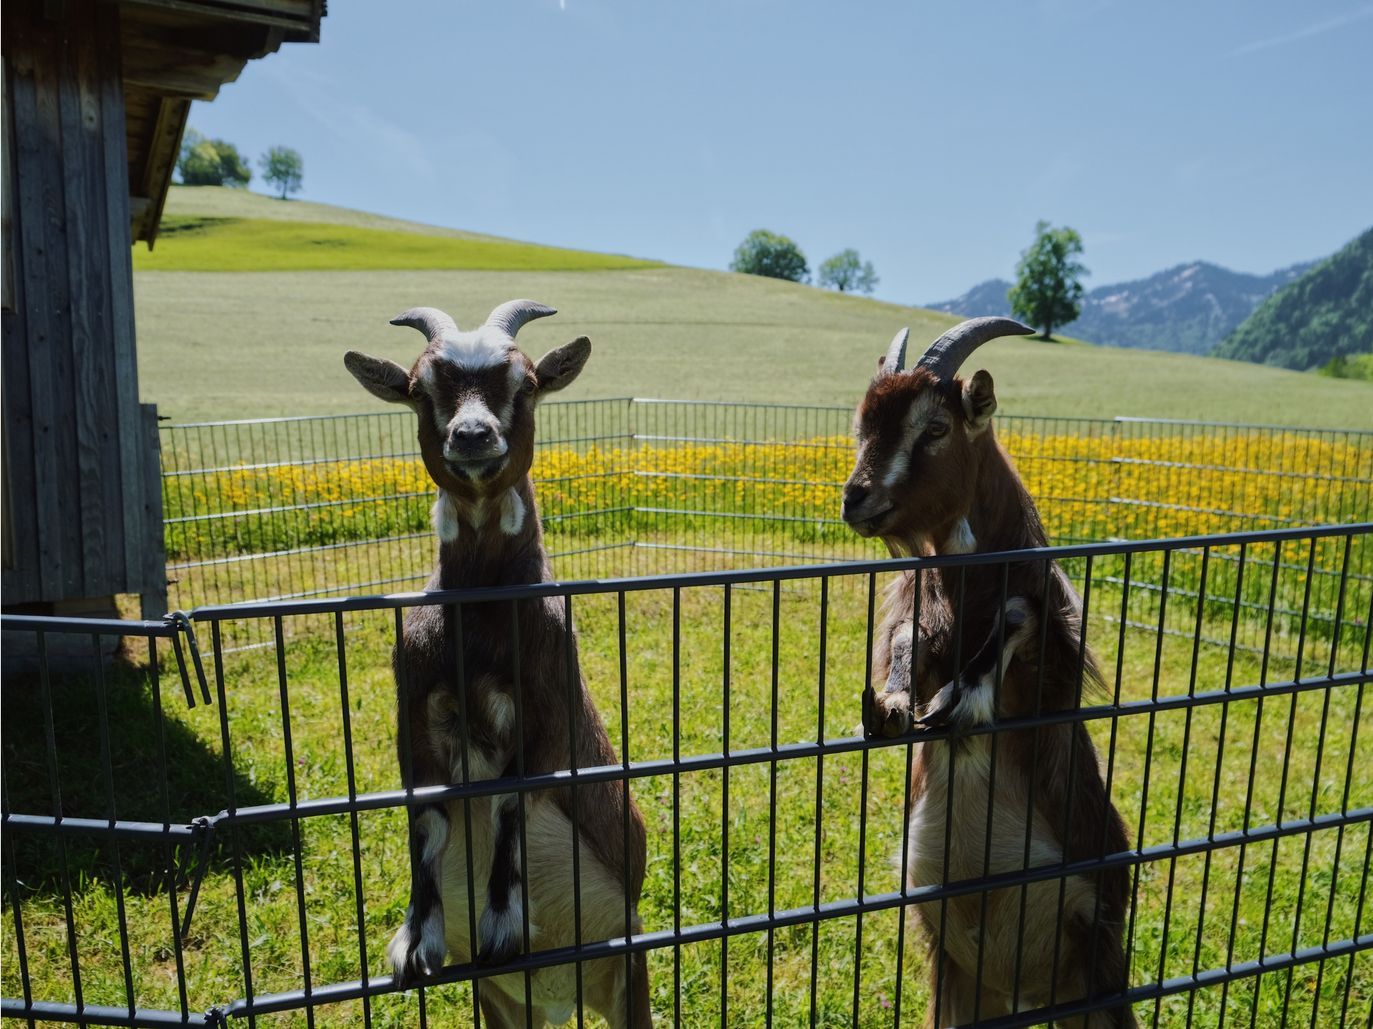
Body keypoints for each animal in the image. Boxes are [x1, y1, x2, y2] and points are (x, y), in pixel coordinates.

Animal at [345, 300, 651, 1028]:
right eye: (419, 388)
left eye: (528, 383)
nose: (472, 434)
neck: (479, 627)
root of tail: (561, 994)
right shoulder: (413, 708)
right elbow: (427, 816)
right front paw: (415, 940)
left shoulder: (546, 702)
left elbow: (510, 798)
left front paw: (505, 924)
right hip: (504, 1004)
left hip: (629, 966)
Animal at [841, 318, 1136, 1028]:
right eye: (862, 424)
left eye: (935, 428)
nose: (855, 498)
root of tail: (1026, 991)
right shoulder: (921, 615)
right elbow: (906, 646)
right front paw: (888, 709)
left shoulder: (1052, 661)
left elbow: (1020, 615)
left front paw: (961, 700)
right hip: (961, 984)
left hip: (1099, 962)